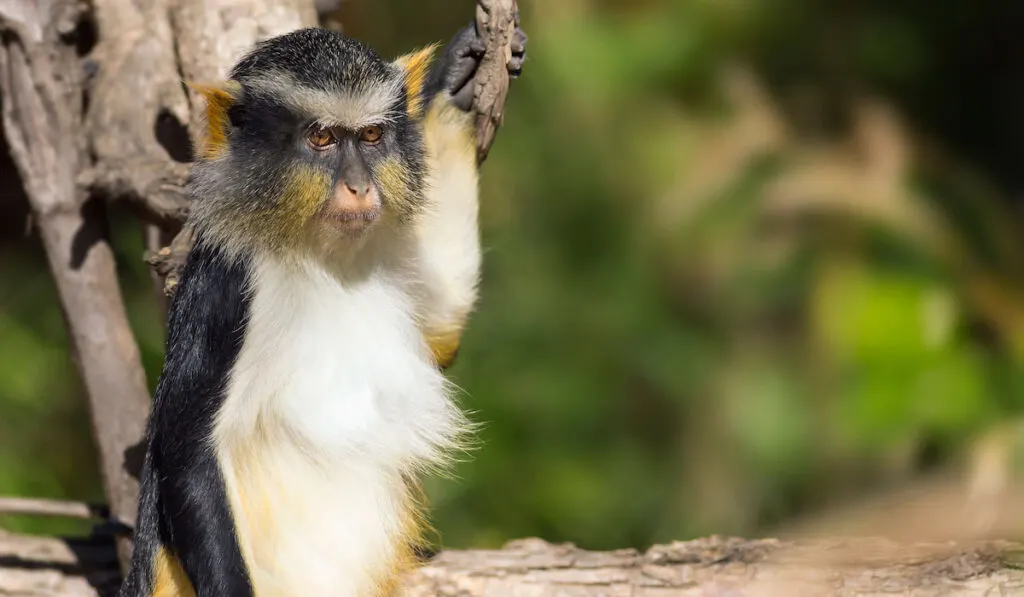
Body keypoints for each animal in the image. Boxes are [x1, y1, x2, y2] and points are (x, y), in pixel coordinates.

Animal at [116, 18, 524, 597]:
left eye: (371, 136)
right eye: (322, 138)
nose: (359, 186)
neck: (322, 256)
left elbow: (443, 330)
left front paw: (455, 81)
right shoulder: (226, 289)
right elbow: (187, 451)